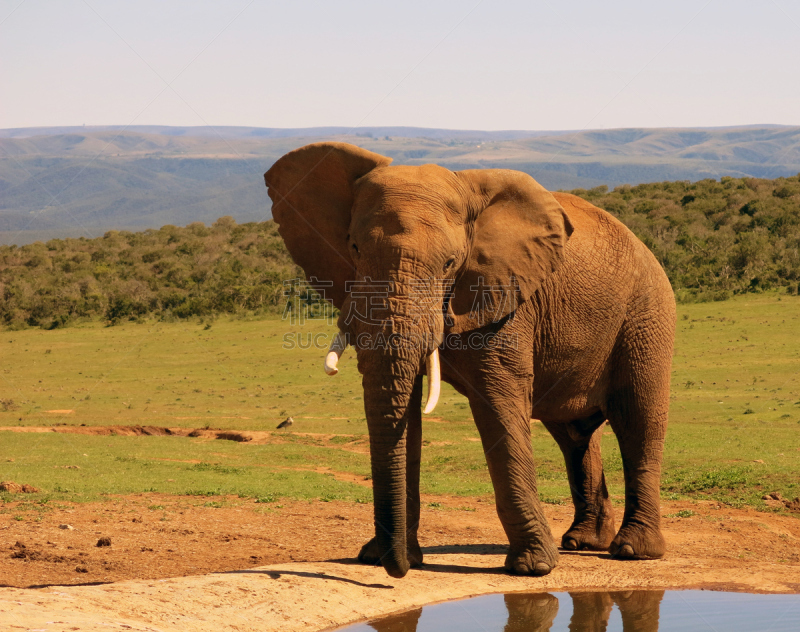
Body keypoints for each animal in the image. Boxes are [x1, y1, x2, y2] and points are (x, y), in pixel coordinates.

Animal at [264, 142, 676, 576]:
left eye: (450, 263)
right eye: (354, 249)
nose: (395, 567)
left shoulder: (506, 297)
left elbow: (498, 403)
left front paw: (532, 568)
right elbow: (406, 409)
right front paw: (380, 557)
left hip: (646, 313)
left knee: (638, 419)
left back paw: (633, 550)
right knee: (574, 434)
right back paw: (582, 542)